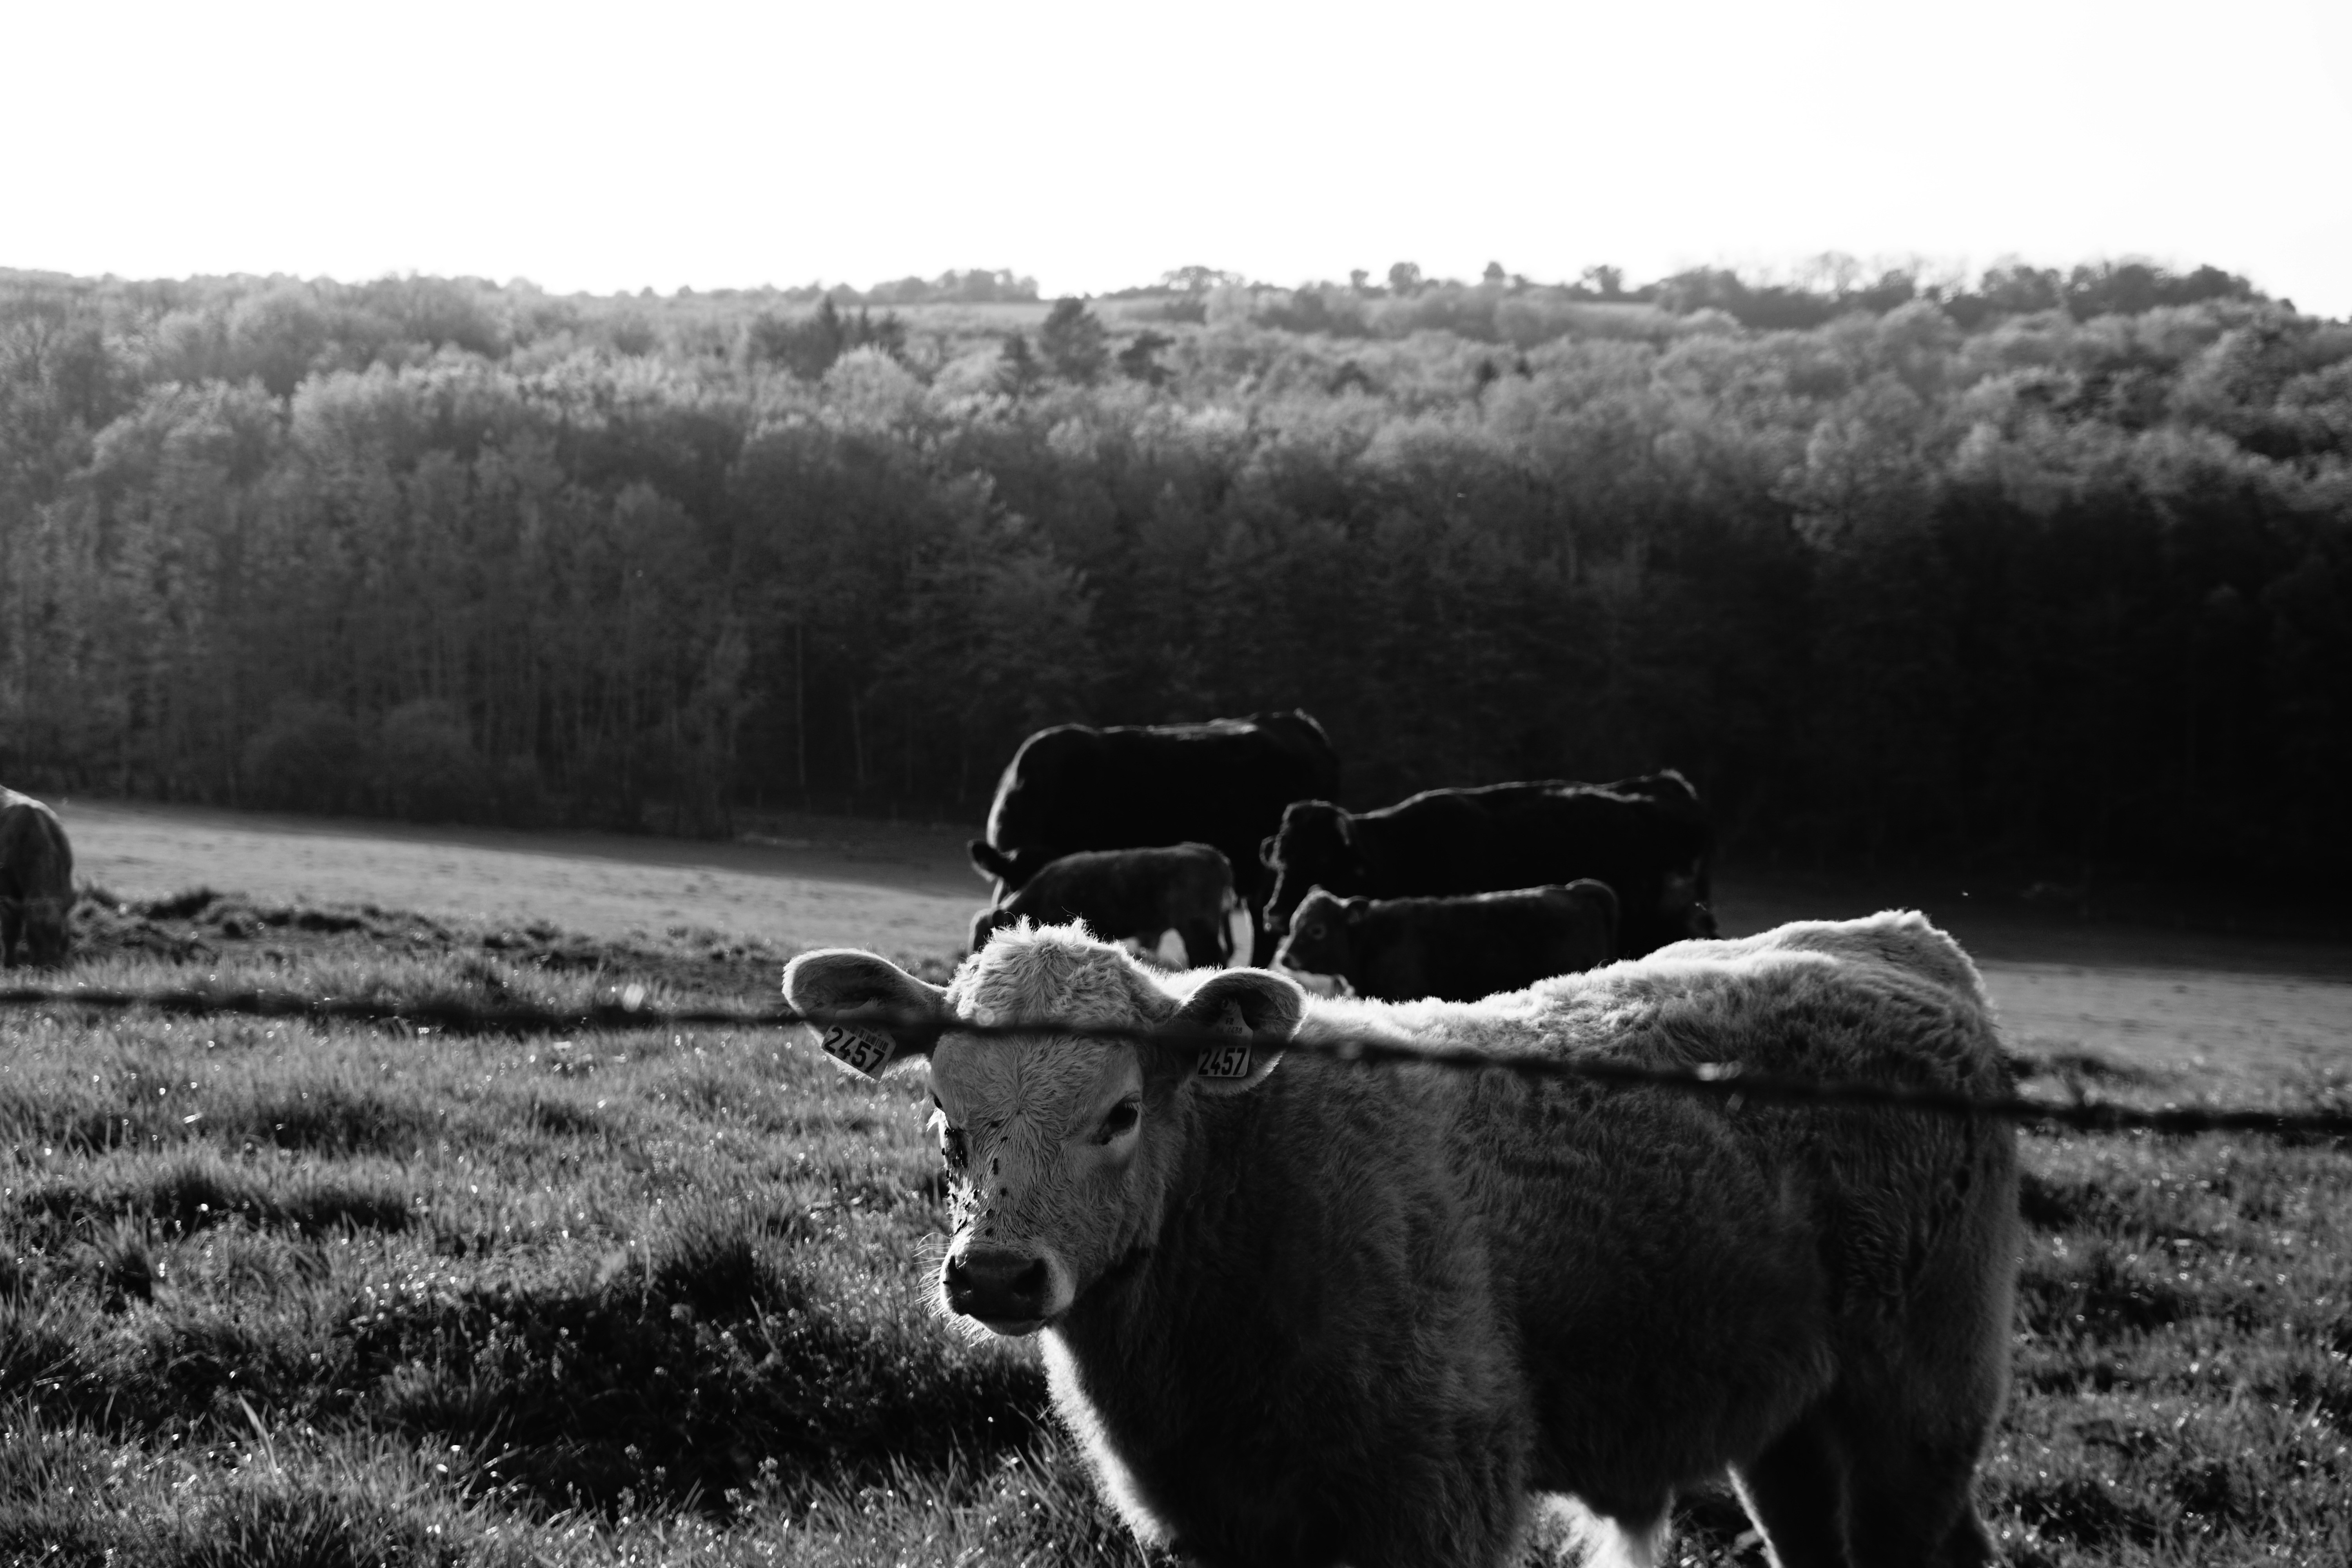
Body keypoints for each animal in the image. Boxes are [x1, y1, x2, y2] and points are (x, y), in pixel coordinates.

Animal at [0, 786, 74, 968]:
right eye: (30, 935)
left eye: (60, 933)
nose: (49, 965)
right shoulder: (6, 892)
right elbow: (10, 930)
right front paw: (9, 963)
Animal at [782, 911, 2019, 1568]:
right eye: (944, 1108)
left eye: (1121, 1111)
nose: (994, 1274)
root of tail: (1895, 941)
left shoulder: (1437, 1501)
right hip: (1794, 1425)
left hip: (1919, 1404)